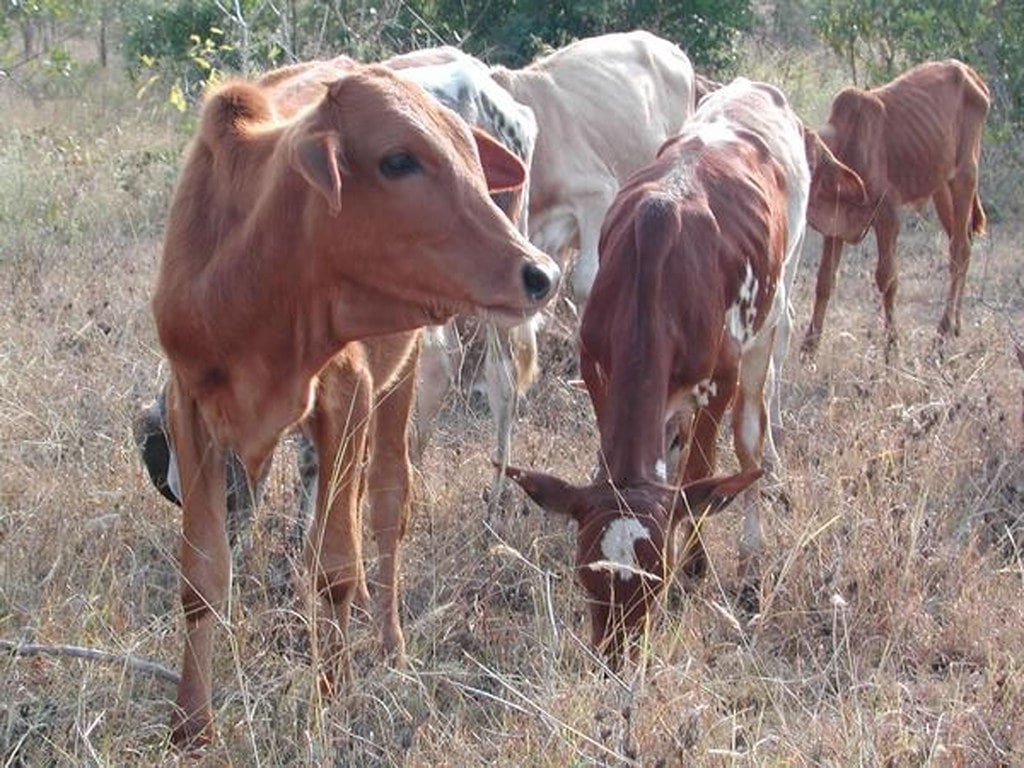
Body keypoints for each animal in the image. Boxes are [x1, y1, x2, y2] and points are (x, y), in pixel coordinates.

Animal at [153, 59, 559, 747]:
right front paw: (191, 725)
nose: (540, 274)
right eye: (398, 160)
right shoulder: (193, 407)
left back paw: (389, 641)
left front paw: (331, 694)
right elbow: (203, 578)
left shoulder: (347, 393)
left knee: (388, 503)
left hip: (400, 380)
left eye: (470, 158)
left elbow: (336, 566)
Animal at [501, 78, 822, 664]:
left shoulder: (720, 380)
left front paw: (697, 565)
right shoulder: (597, 369)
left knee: (750, 442)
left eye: (657, 579)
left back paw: (751, 560)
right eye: (586, 574)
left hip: (771, 319)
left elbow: (702, 476)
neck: (654, 274)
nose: (615, 659)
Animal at [800, 59, 989, 359]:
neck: (847, 146)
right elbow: (824, 281)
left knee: (959, 249)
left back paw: (942, 333)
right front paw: (809, 348)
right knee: (964, 243)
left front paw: (892, 345)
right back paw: (956, 325)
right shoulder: (835, 224)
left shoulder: (887, 215)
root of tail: (968, 72)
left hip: (964, 176)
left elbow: (886, 279)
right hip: (941, 187)